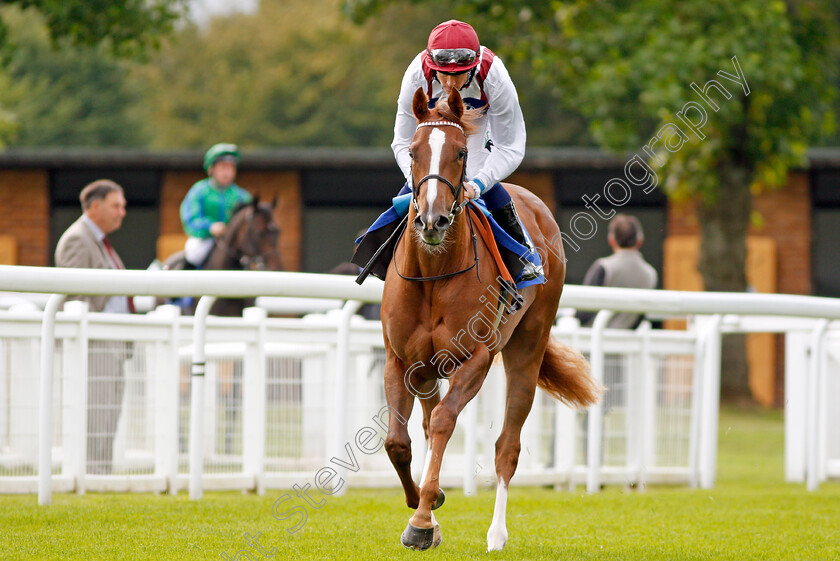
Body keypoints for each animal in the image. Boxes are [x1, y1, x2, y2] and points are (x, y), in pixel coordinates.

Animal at [380, 88, 604, 552]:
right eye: (412, 152)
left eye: (461, 153)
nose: (433, 219)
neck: (434, 273)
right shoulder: (401, 360)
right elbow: (397, 441)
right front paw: (425, 505)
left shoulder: (476, 359)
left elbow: (445, 422)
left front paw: (422, 518)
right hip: (428, 369)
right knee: (425, 423)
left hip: (527, 348)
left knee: (506, 446)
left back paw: (496, 534)